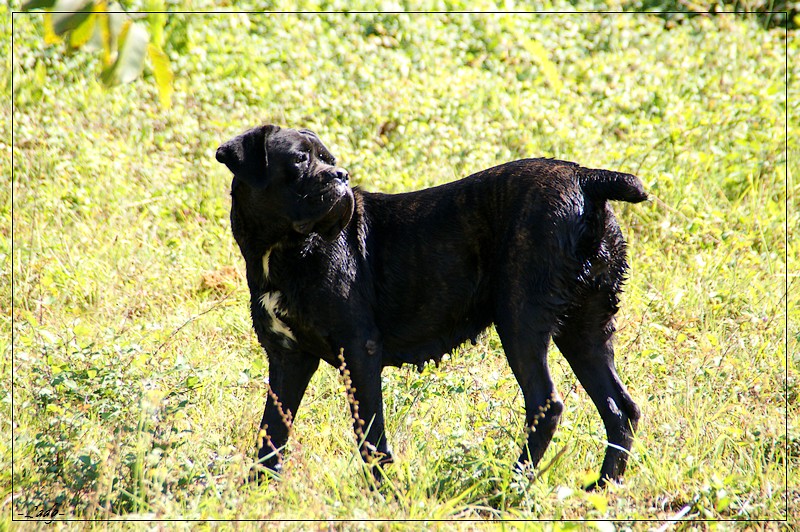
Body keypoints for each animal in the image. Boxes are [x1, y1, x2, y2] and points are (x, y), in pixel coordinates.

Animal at [219, 123, 648, 486]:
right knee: (619, 408)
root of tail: (584, 177)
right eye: (299, 160)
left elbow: (370, 434)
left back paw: (508, 486)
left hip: (521, 322)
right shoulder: (287, 358)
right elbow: (272, 432)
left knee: (546, 405)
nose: (341, 176)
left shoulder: (358, 351)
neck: (283, 252)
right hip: (585, 330)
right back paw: (603, 487)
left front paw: (383, 493)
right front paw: (256, 491)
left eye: (327, 159)